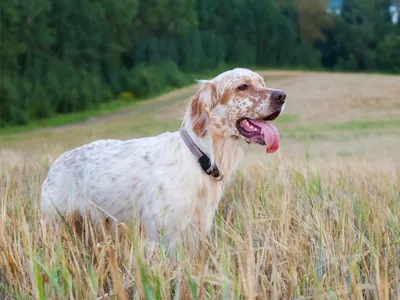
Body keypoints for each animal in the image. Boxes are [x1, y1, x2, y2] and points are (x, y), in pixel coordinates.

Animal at [40, 67, 286, 251]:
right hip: (54, 223)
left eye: (262, 82)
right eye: (242, 86)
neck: (201, 156)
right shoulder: (161, 238)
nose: (282, 96)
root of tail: (55, 164)